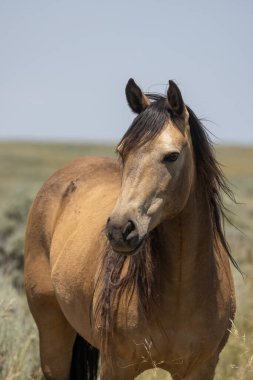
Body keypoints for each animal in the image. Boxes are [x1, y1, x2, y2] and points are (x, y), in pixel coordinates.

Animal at [24, 78, 236, 378]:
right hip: (52, 333)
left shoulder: (200, 368)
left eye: (172, 156)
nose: (119, 229)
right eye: (122, 152)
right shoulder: (117, 366)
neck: (181, 290)